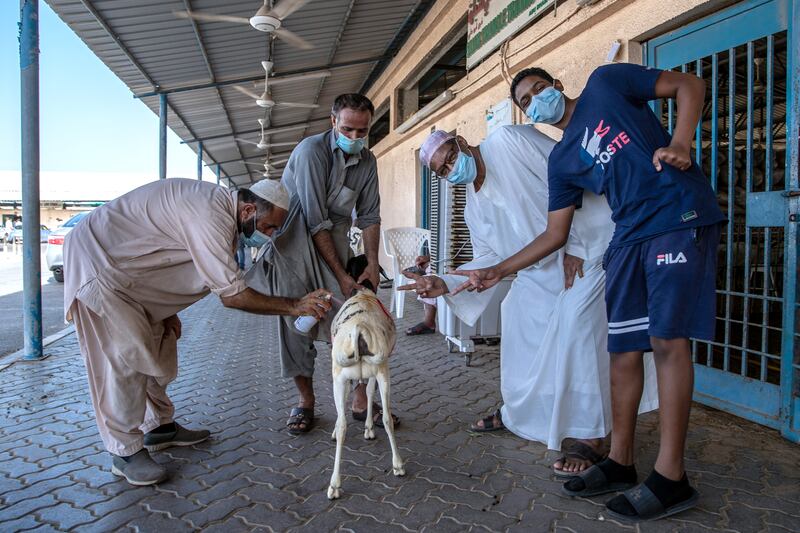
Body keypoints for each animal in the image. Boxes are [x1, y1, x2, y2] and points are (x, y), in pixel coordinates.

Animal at [326, 288, 404, 496]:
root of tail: (358, 329)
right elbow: (369, 392)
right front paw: (369, 428)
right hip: (382, 371)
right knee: (386, 418)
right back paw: (398, 465)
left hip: (340, 376)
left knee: (344, 423)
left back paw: (334, 484)